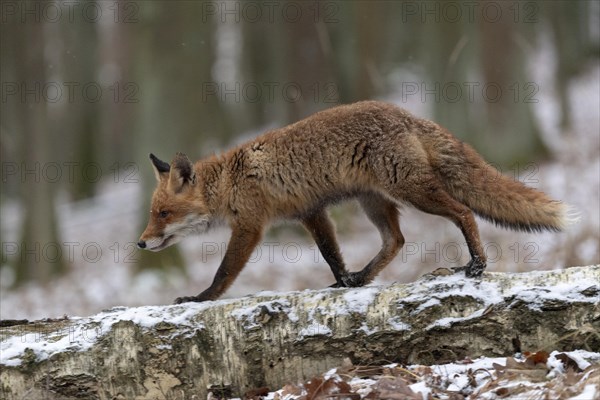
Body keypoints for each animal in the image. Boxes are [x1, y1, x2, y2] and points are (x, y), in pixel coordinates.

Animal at [138, 100, 576, 304]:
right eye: (152, 214)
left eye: (163, 213)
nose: (141, 242)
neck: (230, 181)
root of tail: (406, 113)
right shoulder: (311, 212)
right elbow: (332, 254)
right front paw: (344, 281)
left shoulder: (250, 226)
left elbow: (224, 272)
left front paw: (200, 298)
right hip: (374, 202)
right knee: (396, 241)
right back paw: (364, 278)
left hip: (411, 191)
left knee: (463, 212)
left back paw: (477, 264)